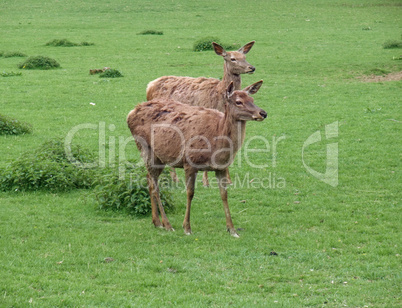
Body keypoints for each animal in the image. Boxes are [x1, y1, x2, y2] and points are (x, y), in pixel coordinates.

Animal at [127, 80, 266, 238]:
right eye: (238, 102)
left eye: (252, 99)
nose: (263, 113)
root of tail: (131, 112)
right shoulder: (189, 162)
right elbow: (190, 193)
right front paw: (187, 227)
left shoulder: (221, 167)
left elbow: (224, 194)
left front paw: (232, 229)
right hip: (145, 148)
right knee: (155, 186)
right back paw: (167, 224)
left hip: (159, 157)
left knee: (149, 180)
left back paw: (156, 222)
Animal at [146, 40, 256, 185]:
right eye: (233, 58)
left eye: (244, 57)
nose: (251, 68)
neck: (219, 95)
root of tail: (149, 86)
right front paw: (206, 181)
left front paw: (228, 180)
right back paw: (175, 179)